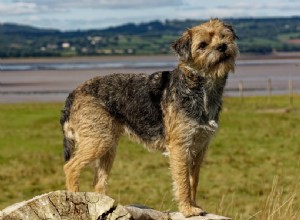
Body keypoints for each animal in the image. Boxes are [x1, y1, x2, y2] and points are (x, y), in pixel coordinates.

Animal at [61, 18, 238, 217]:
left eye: (224, 36)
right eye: (202, 45)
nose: (222, 46)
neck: (200, 86)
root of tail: (72, 94)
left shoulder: (199, 147)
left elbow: (193, 180)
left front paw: (194, 205)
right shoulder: (180, 147)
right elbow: (183, 181)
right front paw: (187, 209)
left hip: (108, 147)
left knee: (98, 181)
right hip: (99, 141)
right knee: (70, 167)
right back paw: (74, 197)